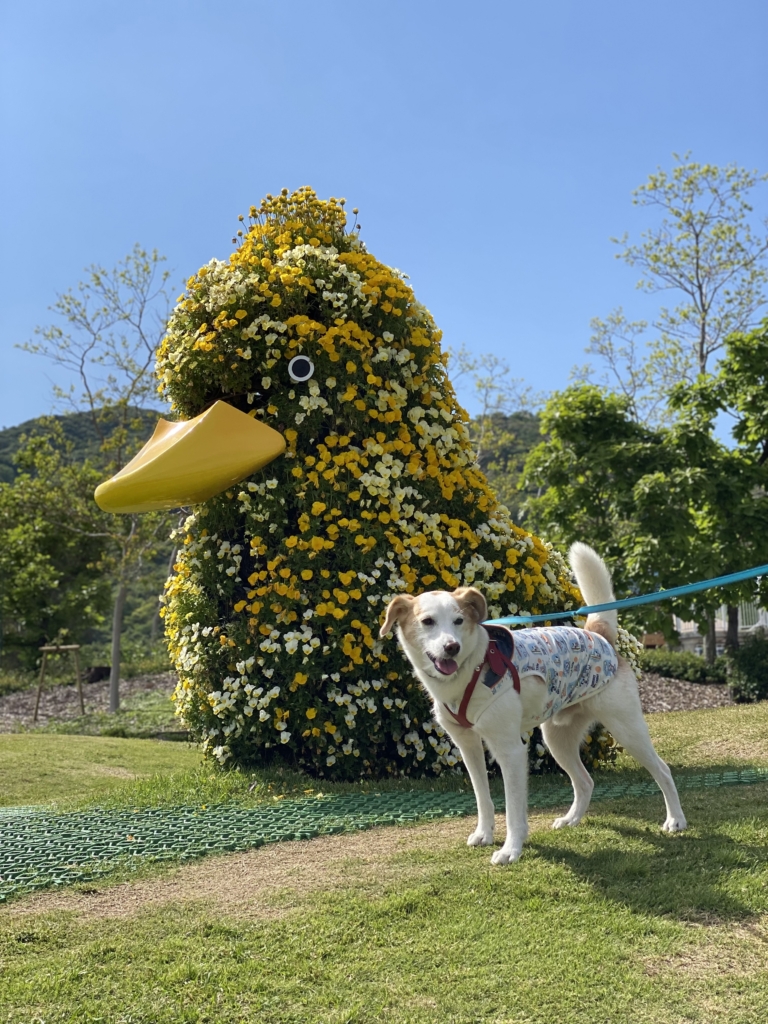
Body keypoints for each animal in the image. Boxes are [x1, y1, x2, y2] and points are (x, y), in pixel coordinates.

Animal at [382, 544, 688, 864]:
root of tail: (598, 634)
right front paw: (484, 834)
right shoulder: (468, 747)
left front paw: (510, 850)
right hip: (557, 738)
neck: (472, 668)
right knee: (585, 781)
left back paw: (676, 820)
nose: (451, 647)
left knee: (662, 770)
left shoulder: (510, 751)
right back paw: (571, 819)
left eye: (459, 621)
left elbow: (514, 809)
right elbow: (483, 797)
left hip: (627, 728)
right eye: (427, 621)